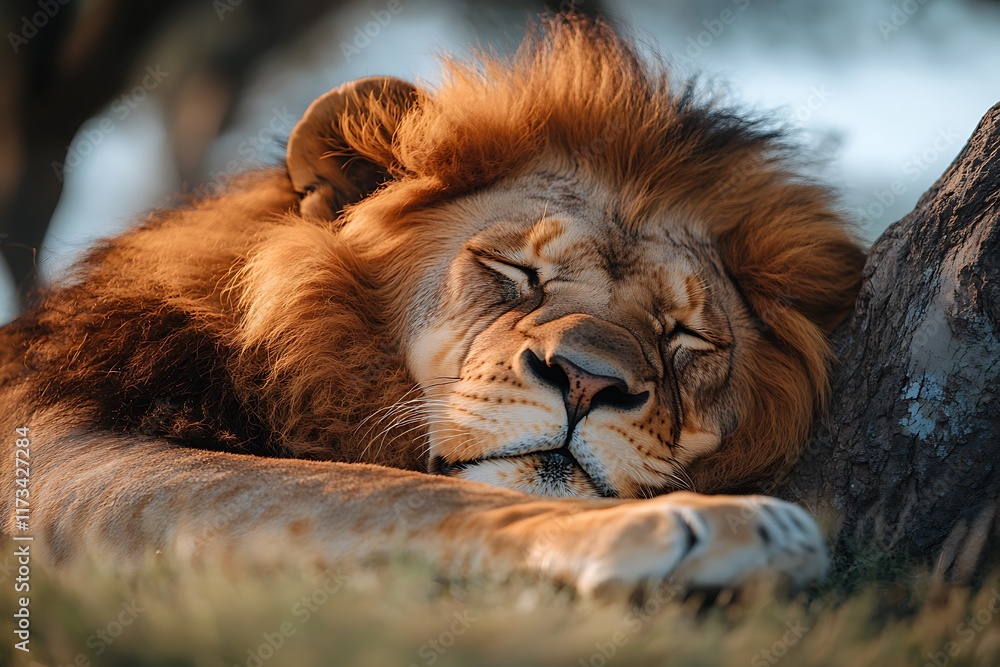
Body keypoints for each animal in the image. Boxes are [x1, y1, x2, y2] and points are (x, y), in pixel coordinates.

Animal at [0, 17, 864, 594]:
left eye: (684, 335)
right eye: (515, 271)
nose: (588, 382)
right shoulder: (61, 454)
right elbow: (382, 490)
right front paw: (718, 522)